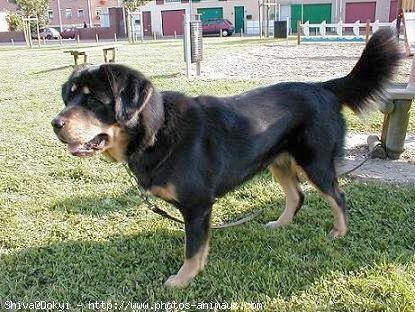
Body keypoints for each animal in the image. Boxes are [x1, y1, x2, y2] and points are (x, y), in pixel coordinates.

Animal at [51, 29, 400, 288]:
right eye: (69, 98)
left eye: (94, 100)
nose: (55, 124)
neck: (157, 131)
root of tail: (323, 87)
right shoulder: (199, 210)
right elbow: (201, 245)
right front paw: (197, 271)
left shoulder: (197, 205)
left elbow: (192, 249)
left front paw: (182, 279)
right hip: (278, 162)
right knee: (297, 196)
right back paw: (281, 223)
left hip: (315, 162)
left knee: (337, 197)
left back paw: (339, 232)